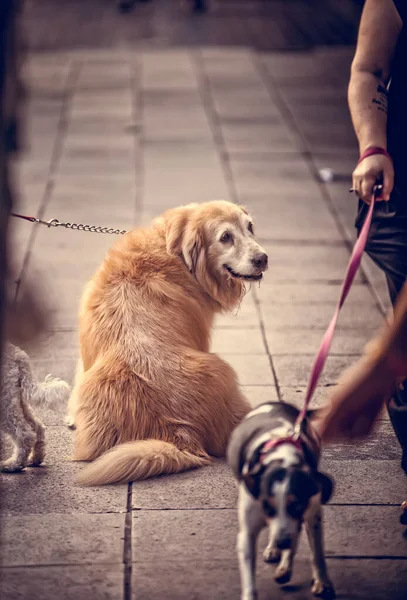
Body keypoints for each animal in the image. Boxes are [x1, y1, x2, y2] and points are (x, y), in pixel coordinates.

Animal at [228, 400, 336, 600]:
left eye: (297, 505)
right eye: (266, 506)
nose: (282, 542)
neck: (281, 457)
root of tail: (276, 402)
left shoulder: (311, 514)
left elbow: (317, 552)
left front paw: (322, 582)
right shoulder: (248, 532)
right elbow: (249, 574)